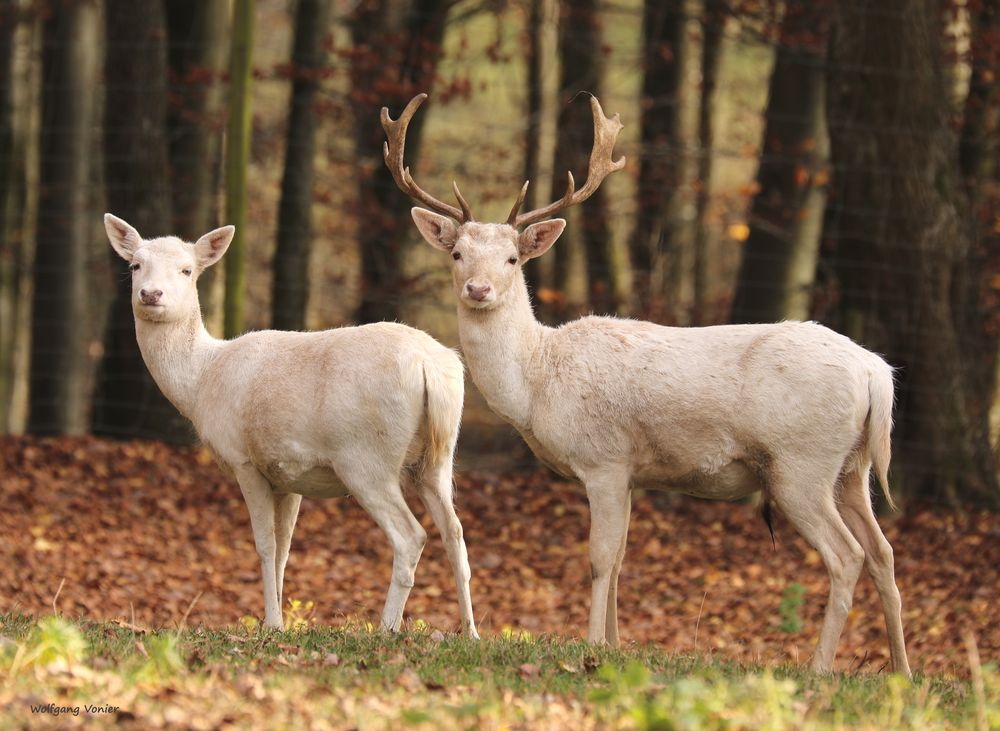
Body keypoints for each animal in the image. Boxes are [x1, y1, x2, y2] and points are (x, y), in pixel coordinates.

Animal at [104, 214, 476, 636]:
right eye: (136, 265)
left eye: (187, 269)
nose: (151, 294)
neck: (202, 379)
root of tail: (431, 366)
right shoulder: (290, 476)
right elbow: (284, 548)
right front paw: (279, 617)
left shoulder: (243, 458)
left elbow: (265, 545)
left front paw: (271, 624)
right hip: (439, 455)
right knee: (455, 532)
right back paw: (471, 632)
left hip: (366, 458)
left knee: (411, 536)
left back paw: (386, 629)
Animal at [380, 94, 908, 676]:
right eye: (457, 254)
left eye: (513, 259)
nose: (478, 289)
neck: (538, 384)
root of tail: (876, 374)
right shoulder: (632, 471)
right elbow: (620, 559)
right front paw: (615, 644)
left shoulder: (604, 459)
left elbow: (599, 558)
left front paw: (590, 647)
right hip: (852, 467)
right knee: (883, 552)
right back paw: (902, 671)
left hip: (802, 463)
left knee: (847, 555)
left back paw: (818, 668)